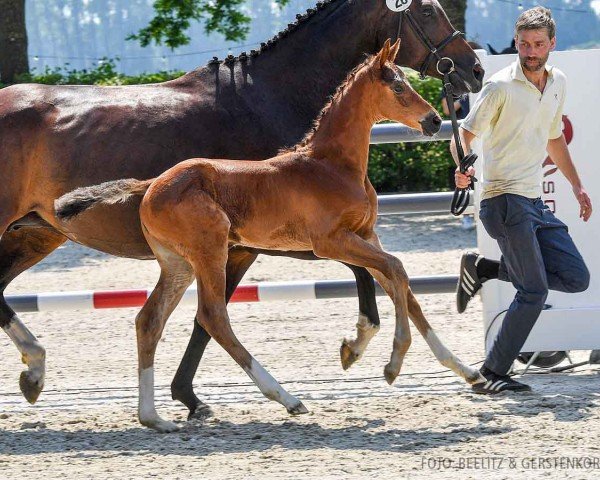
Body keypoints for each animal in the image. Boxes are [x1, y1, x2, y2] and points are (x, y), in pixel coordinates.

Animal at [56, 40, 486, 432]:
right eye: (397, 87)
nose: (434, 121)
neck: (331, 166)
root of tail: (150, 185)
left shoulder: (367, 235)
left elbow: (405, 289)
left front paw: (466, 370)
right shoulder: (330, 242)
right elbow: (395, 272)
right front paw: (391, 362)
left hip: (178, 263)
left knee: (150, 320)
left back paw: (154, 417)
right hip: (211, 251)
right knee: (212, 316)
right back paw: (286, 398)